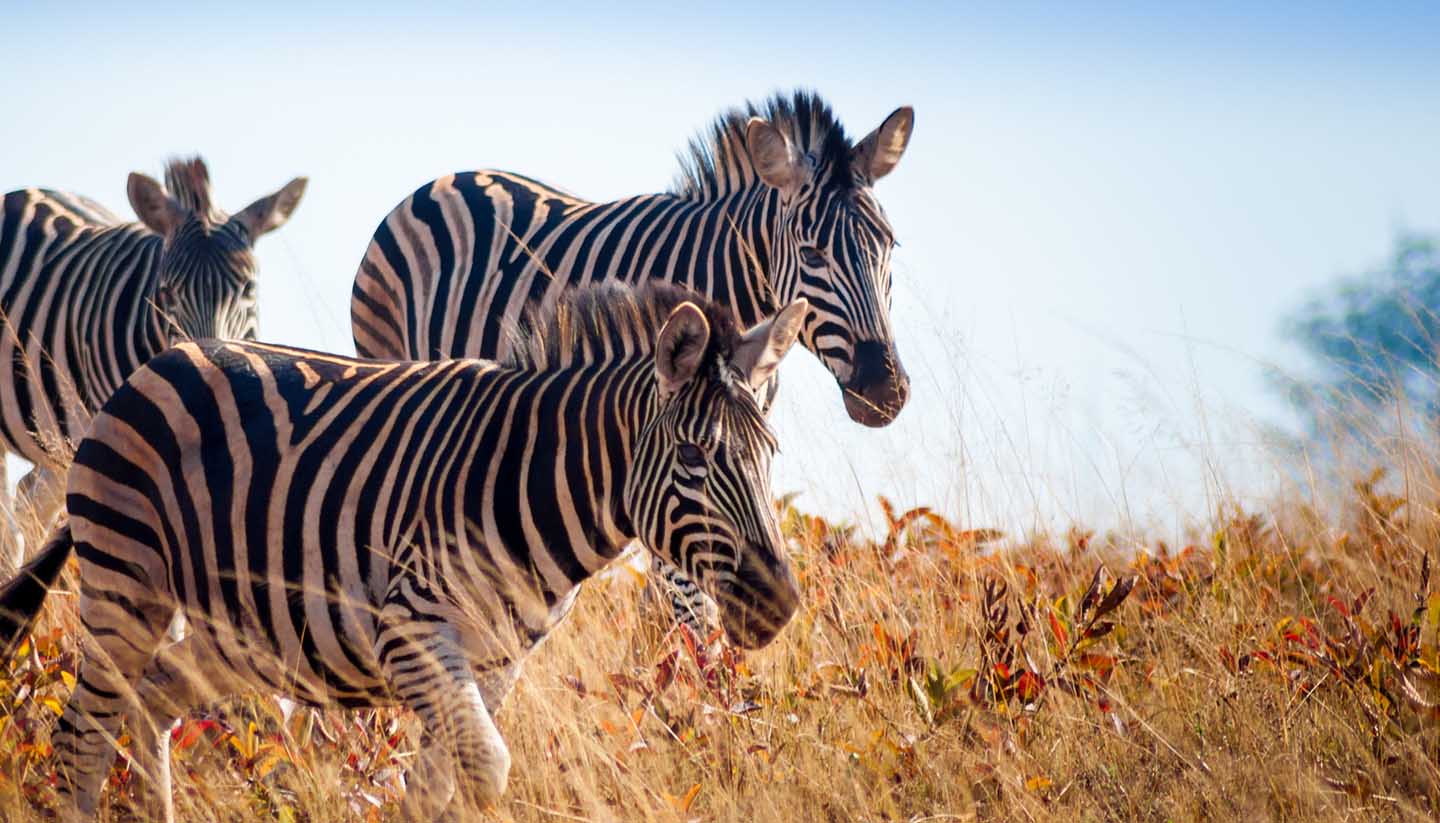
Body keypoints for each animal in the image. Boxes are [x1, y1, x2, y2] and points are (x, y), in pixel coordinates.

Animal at [0, 279, 812, 817]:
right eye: (695, 457)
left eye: (771, 454)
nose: (778, 603)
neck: (531, 480)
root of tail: (155, 364)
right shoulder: (413, 631)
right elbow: (486, 768)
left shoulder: (496, 660)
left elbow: (436, 787)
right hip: (126, 583)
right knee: (83, 736)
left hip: (240, 628)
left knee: (154, 701)